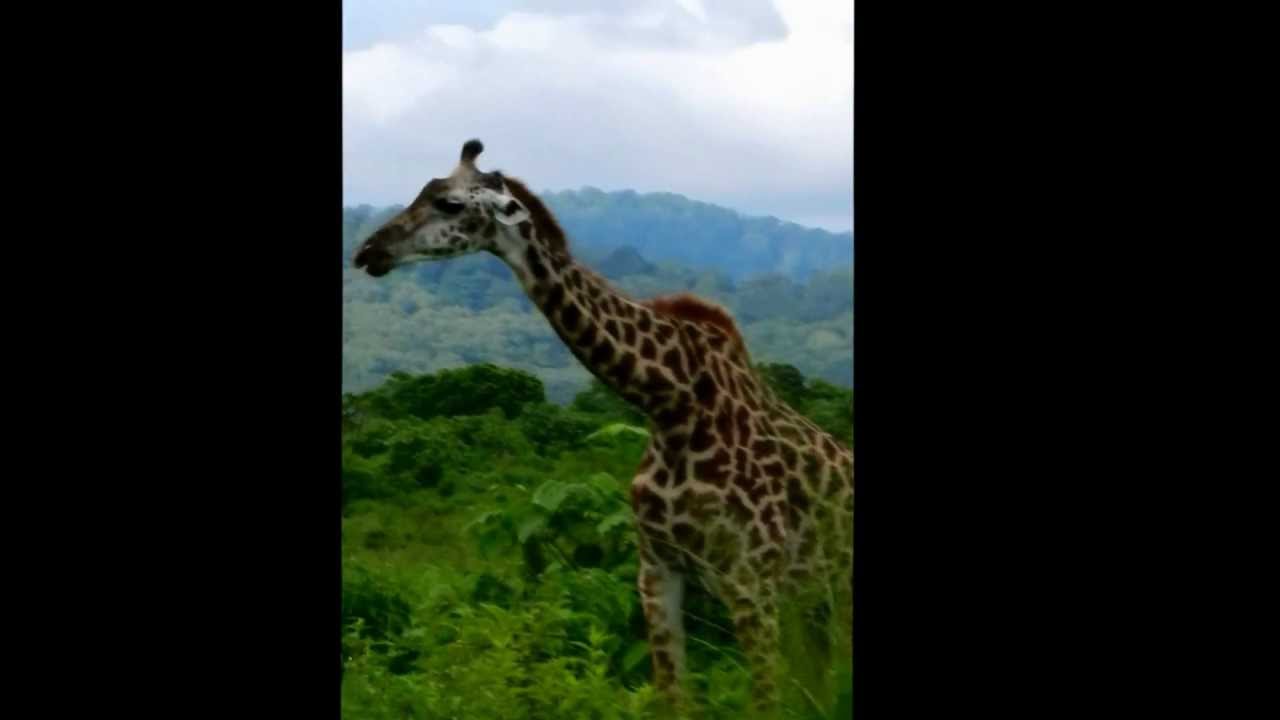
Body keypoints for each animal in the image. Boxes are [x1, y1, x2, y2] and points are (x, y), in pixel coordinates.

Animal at [353, 140, 853, 717]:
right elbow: (674, 697)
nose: (368, 251)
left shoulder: (750, 579)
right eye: (422, 190)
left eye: (450, 204)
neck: (670, 402)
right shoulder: (656, 570)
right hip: (813, 597)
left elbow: (765, 701)